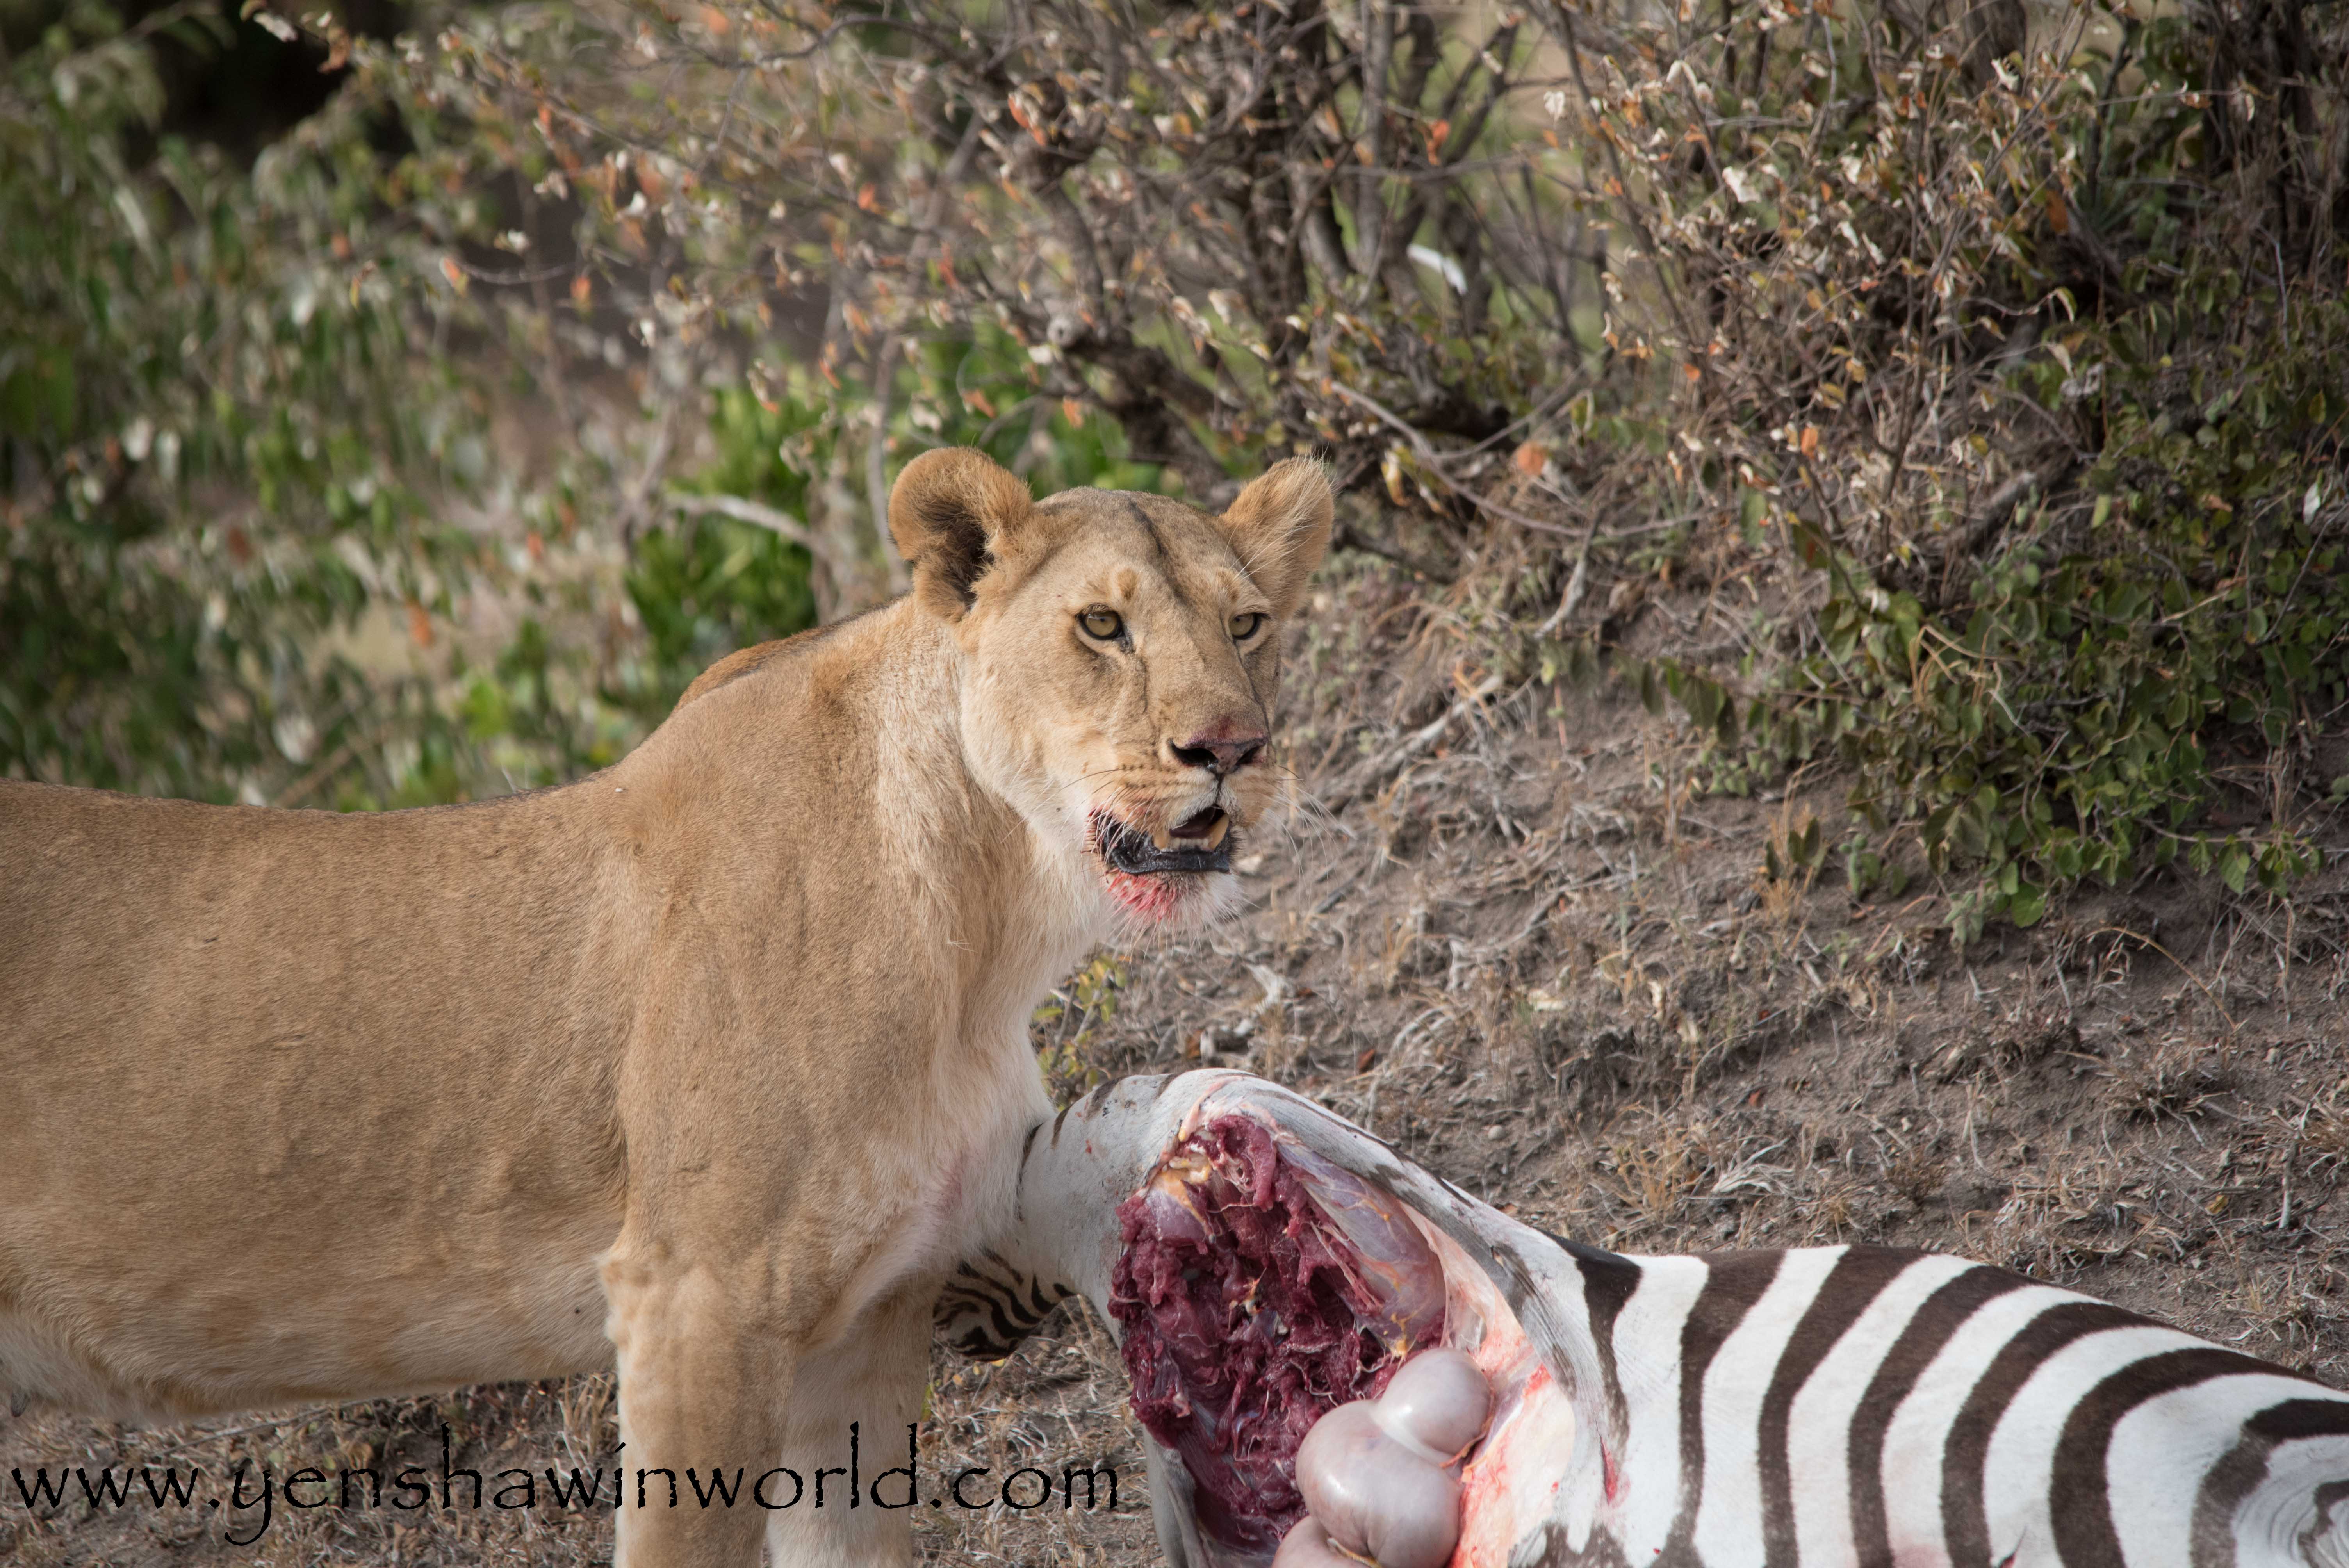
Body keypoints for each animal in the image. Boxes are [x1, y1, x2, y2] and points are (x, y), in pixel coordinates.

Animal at [0, 448, 1332, 1568]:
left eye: (1247, 624)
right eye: (1102, 625)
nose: (1234, 747)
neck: (988, 924)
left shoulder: (869, 1320)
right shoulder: (695, 1299)